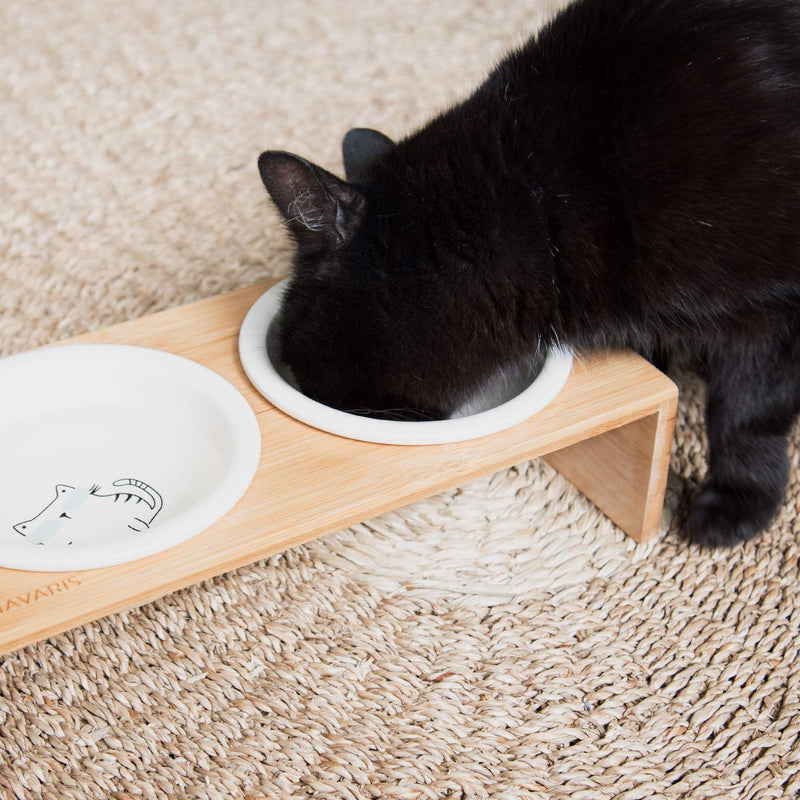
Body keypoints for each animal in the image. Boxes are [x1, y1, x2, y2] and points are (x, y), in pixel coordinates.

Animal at [256, 0, 800, 548]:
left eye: (306, 368)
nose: (308, 393)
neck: (541, 201)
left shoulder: (771, 317)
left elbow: (746, 413)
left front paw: (738, 504)